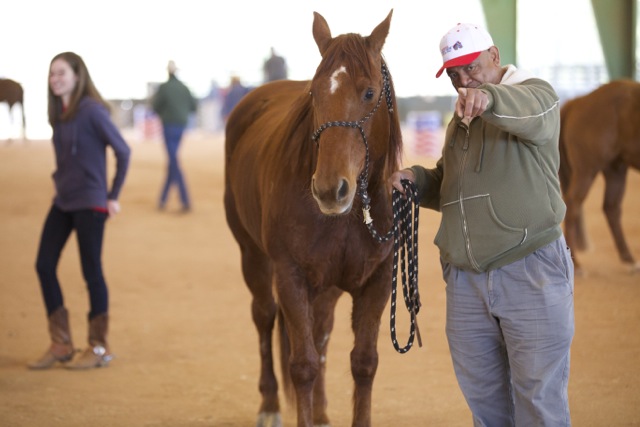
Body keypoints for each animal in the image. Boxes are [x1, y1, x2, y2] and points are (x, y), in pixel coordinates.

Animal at [224, 10, 400, 427]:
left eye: (369, 93)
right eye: (314, 93)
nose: (329, 189)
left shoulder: (377, 281)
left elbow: (363, 362)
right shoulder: (290, 275)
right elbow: (302, 364)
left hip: (327, 285)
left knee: (322, 332)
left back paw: (320, 413)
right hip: (253, 257)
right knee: (264, 317)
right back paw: (270, 405)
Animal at [560, 80, 640, 274]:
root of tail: (579, 101)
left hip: (615, 168)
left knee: (611, 208)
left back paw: (629, 260)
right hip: (588, 170)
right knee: (573, 205)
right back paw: (577, 264)